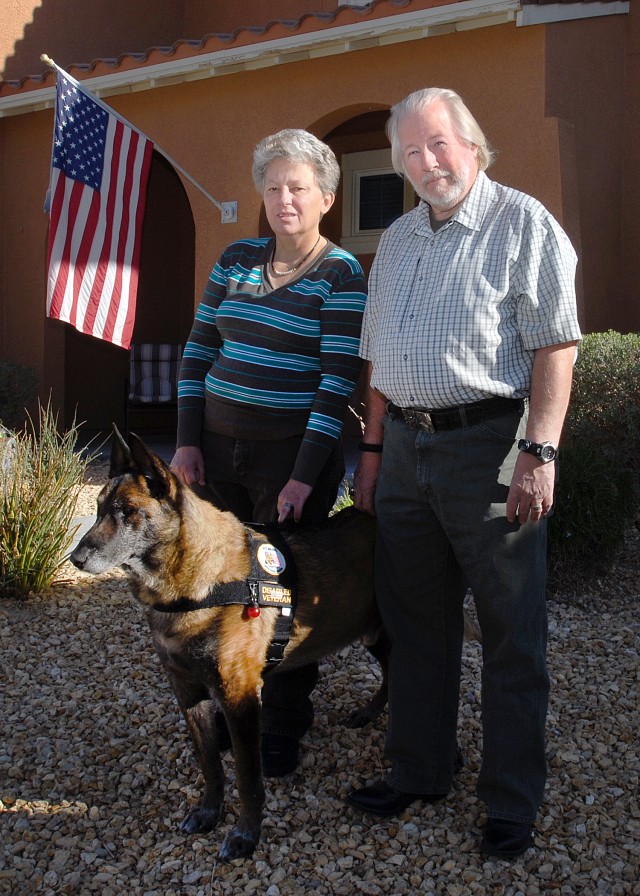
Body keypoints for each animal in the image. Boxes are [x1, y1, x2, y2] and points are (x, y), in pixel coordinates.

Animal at [71, 428, 480, 860]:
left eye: (128, 511)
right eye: (98, 509)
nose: (76, 558)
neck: (198, 581)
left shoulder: (240, 698)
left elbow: (248, 777)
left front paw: (245, 835)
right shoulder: (189, 694)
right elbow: (210, 766)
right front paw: (208, 812)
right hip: (373, 633)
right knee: (391, 672)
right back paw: (370, 712)